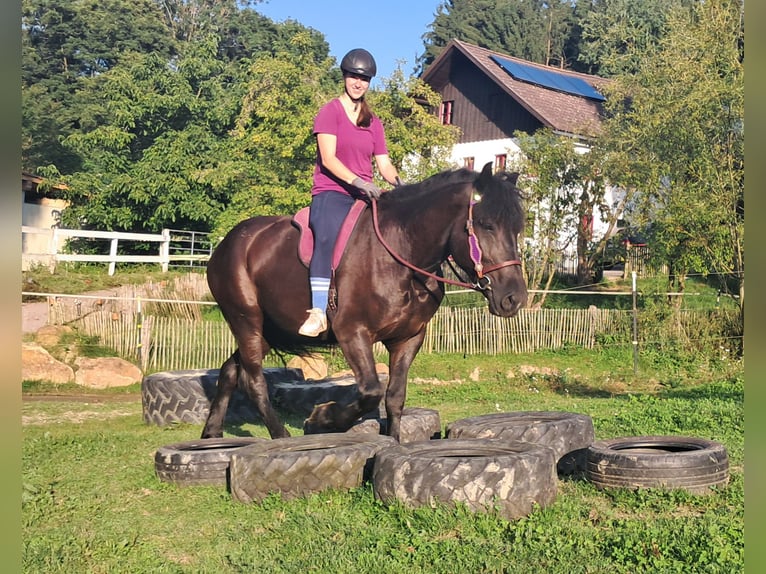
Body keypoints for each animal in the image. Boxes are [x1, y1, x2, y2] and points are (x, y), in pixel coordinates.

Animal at [201, 162, 528, 442]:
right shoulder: (352, 333)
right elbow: (371, 391)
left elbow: (395, 397)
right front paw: (322, 419)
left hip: (269, 330)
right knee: (254, 381)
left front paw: (393, 441)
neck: (400, 254)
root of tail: (228, 242)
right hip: (247, 320)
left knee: (231, 370)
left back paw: (212, 431)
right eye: (486, 224)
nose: (514, 298)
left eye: (517, 228)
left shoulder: (409, 337)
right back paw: (280, 435)